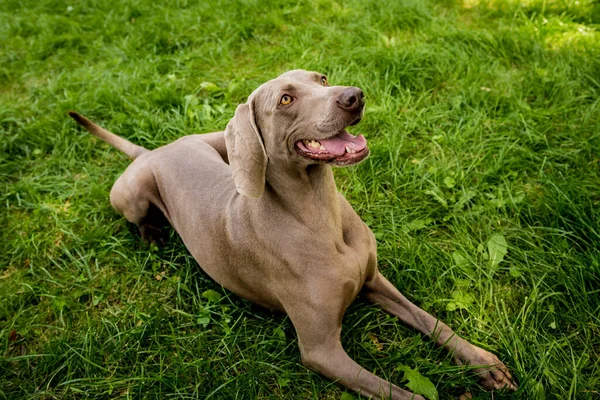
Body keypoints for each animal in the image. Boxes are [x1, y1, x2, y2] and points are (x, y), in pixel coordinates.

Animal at [70, 69, 516, 400]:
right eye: (285, 99)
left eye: (322, 78)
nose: (355, 96)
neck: (320, 214)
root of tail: (152, 152)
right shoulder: (321, 351)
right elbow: (401, 394)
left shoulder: (374, 281)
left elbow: (434, 322)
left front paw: (484, 364)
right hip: (129, 195)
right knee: (138, 214)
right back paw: (152, 234)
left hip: (218, 143)